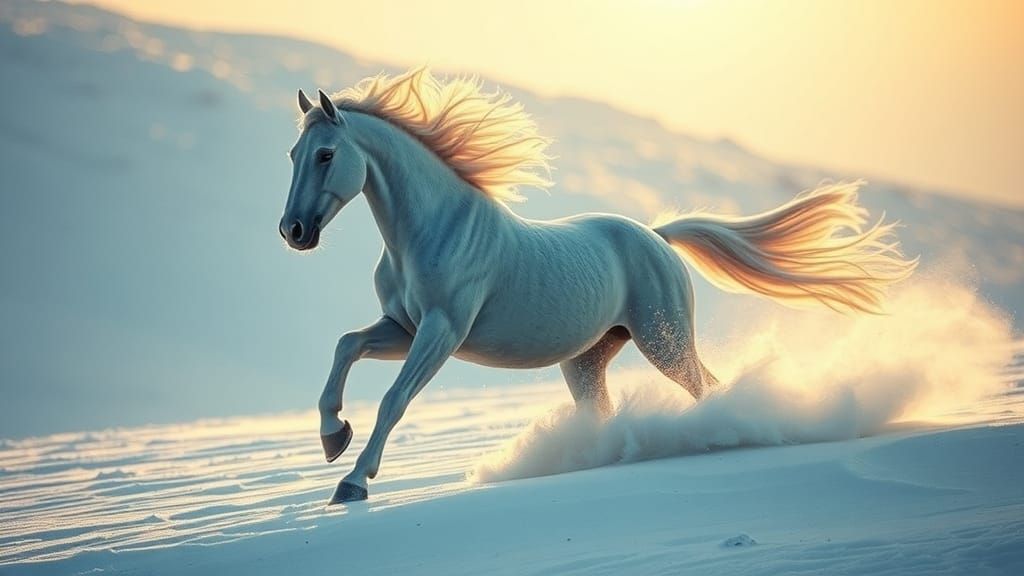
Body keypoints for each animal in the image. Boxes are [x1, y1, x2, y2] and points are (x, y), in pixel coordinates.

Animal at [278, 68, 916, 504]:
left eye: (327, 154)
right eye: (292, 154)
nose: (293, 231)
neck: (432, 229)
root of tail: (657, 236)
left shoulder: (442, 331)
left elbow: (394, 399)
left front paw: (352, 482)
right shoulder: (403, 327)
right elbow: (345, 345)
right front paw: (333, 436)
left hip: (663, 341)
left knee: (709, 388)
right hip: (588, 360)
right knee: (619, 407)